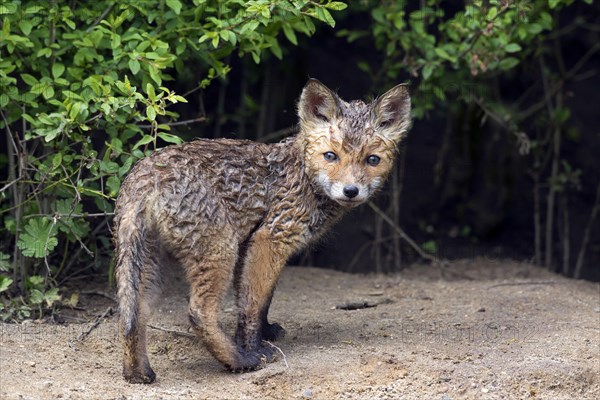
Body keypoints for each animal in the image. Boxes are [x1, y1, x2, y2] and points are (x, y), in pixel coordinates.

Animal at [114, 79, 410, 384]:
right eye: (331, 156)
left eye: (372, 160)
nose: (351, 191)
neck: (303, 175)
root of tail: (146, 174)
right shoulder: (270, 238)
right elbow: (252, 304)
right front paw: (252, 347)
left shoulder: (252, 244)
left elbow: (260, 299)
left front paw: (263, 332)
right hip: (220, 251)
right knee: (198, 312)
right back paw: (240, 361)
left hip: (151, 264)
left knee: (133, 316)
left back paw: (137, 373)